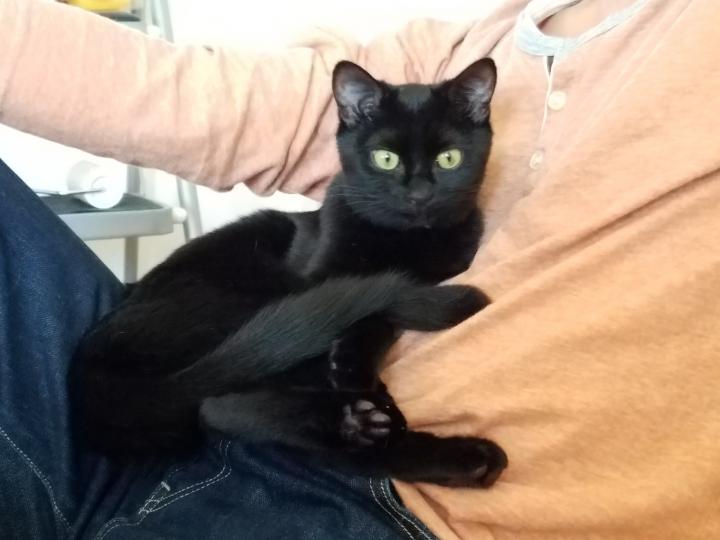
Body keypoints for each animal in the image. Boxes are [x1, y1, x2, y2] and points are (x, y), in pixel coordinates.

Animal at [69, 58, 507, 488]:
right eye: (385, 158)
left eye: (449, 159)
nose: (419, 194)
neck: (399, 243)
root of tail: (91, 367)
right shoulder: (320, 277)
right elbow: (367, 305)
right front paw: (357, 381)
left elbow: (379, 313)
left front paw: (353, 366)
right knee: (226, 405)